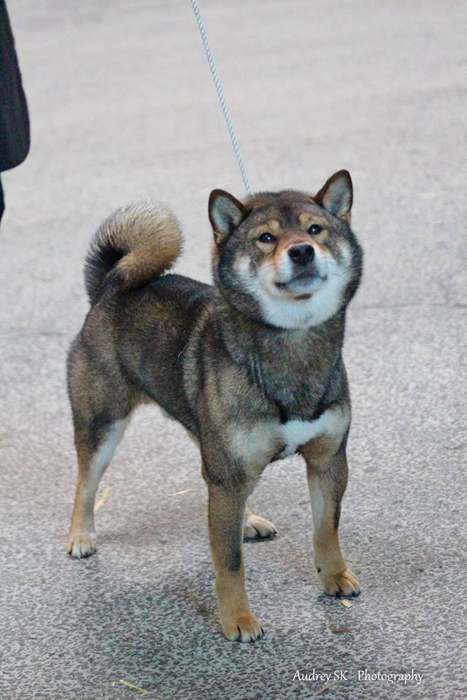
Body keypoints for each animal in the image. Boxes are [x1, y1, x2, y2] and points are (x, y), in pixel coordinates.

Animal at [67, 170, 364, 640]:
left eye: (315, 229)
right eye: (266, 238)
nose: (302, 251)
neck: (292, 345)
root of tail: (109, 287)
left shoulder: (328, 460)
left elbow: (326, 529)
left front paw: (333, 576)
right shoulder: (227, 472)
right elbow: (229, 561)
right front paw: (237, 618)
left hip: (207, 437)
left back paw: (247, 521)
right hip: (103, 424)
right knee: (85, 483)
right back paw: (80, 535)